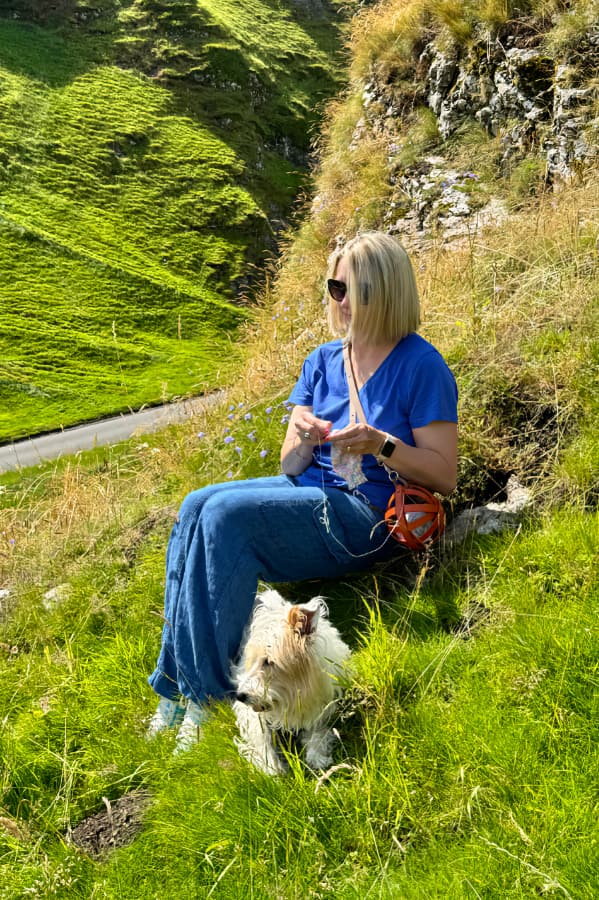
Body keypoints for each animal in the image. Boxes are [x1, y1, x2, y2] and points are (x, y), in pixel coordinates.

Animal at [230, 592, 352, 772]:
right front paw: (271, 766)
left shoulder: (322, 706)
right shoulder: (251, 712)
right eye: (254, 661)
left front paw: (317, 755)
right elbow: (262, 736)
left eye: (268, 661)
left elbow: (317, 732)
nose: (240, 696)